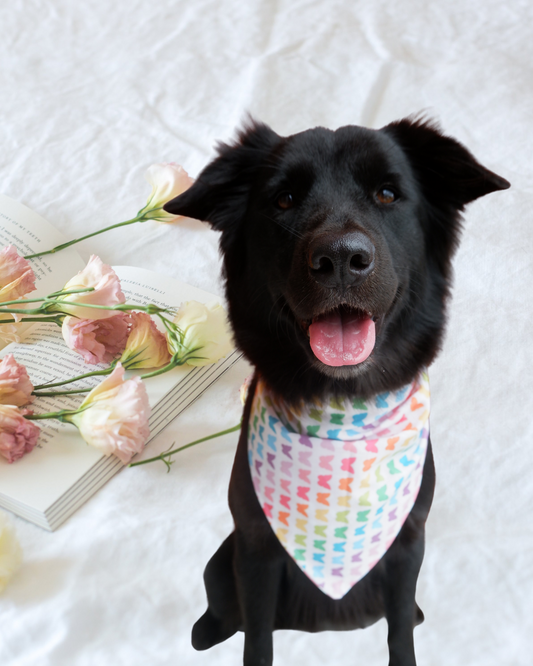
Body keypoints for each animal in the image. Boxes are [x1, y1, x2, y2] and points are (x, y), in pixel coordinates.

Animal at [164, 116, 510, 660]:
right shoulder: (255, 548)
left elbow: (399, 628)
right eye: (284, 199)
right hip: (222, 559)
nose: (342, 258)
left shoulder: (409, 542)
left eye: (388, 193)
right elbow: (257, 637)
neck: (342, 415)